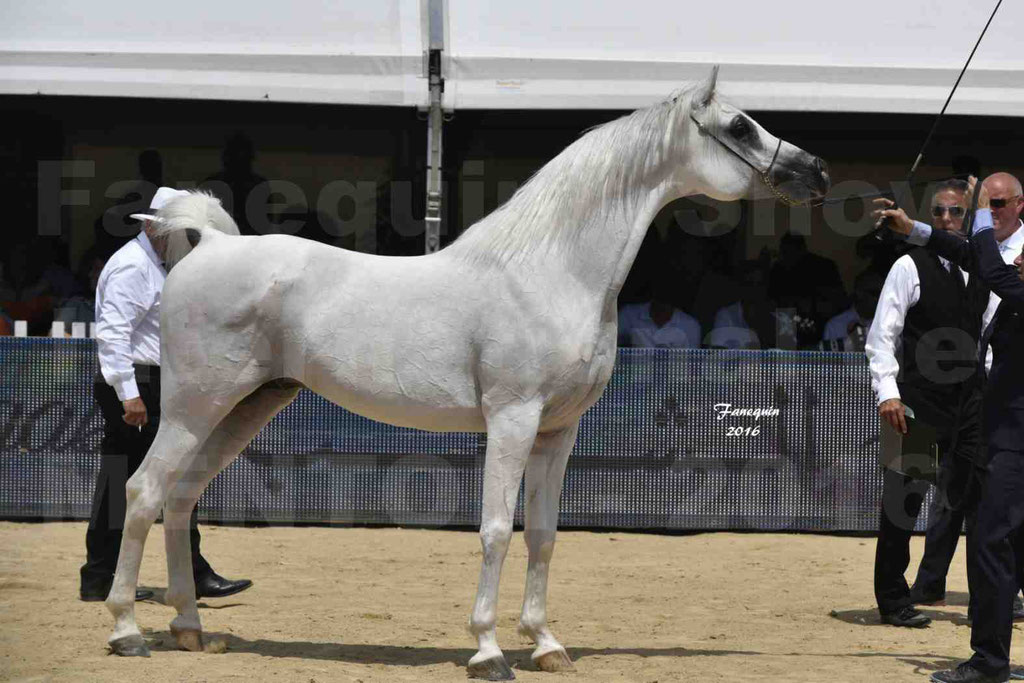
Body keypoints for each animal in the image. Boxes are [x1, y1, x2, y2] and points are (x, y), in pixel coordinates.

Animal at [99, 69, 827, 679]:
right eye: (739, 126)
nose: (814, 170)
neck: (551, 272)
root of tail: (212, 245)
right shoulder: (512, 419)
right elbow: (496, 529)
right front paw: (488, 649)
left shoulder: (559, 430)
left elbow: (543, 533)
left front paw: (546, 643)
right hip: (194, 406)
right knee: (143, 491)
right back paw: (128, 630)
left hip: (248, 406)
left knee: (181, 497)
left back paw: (190, 628)